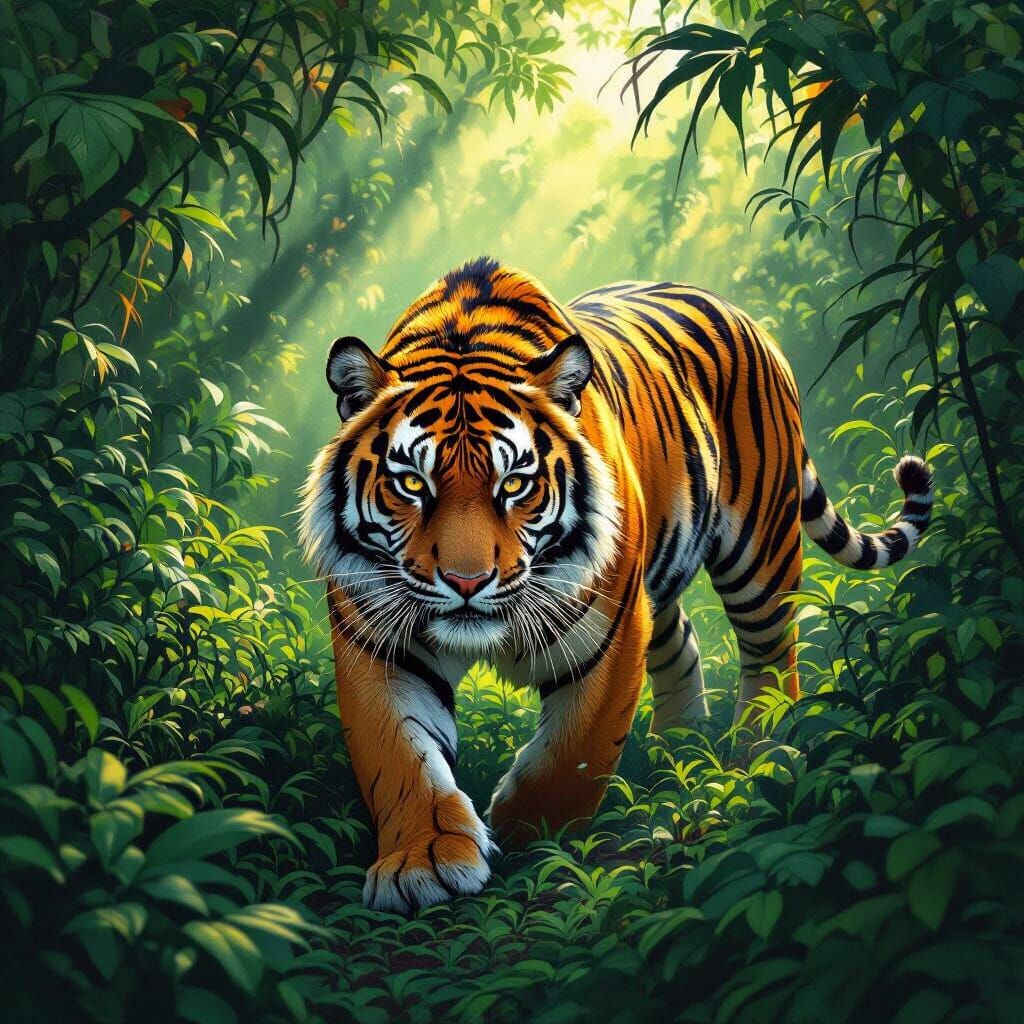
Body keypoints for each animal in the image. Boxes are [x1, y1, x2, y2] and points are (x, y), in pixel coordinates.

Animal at [300, 257, 934, 912]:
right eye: (412, 484)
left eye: (514, 483)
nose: (466, 580)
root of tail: (745, 317)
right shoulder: (379, 646)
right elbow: (400, 758)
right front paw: (422, 861)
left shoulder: (609, 630)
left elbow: (574, 753)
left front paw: (526, 835)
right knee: (683, 642)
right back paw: (678, 751)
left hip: (759, 551)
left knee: (771, 656)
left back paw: (755, 761)